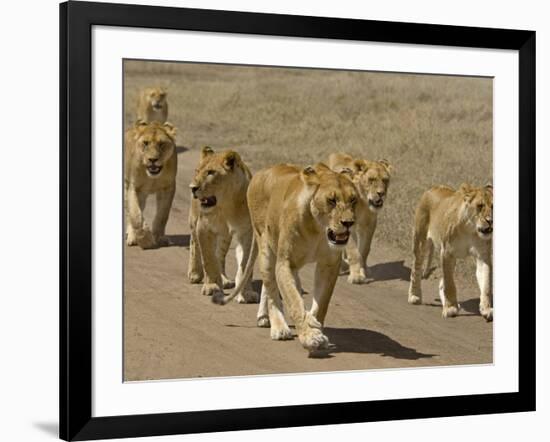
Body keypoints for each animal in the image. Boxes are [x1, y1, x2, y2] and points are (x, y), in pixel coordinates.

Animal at [124, 120, 177, 249]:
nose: (152, 159)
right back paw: (132, 237)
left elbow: (163, 215)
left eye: (162, 144)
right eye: (145, 143)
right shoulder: (134, 187)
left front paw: (159, 237)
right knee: (130, 213)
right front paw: (146, 240)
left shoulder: (168, 188)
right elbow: (136, 215)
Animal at [189, 147, 260, 302]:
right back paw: (194, 273)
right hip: (194, 221)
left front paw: (246, 293)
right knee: (194, 244)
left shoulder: (247, 232)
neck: (226, 205)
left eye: (210, 172)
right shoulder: (203, 228)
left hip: (225, 236)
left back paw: (224, 279)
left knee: (220, 256)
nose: (192, 187)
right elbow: (208, 259)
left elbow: (245, 264)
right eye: (197, 171)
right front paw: (212, 286)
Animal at [216, 162, 362, 352]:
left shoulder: (329, 265)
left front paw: (314, 325)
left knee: (273, 285)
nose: (349, 223)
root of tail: (260, 173)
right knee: (270, 288)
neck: (318, 230)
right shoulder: (285, 262)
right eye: (331, 200)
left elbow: (321, 304)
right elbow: (293, 301)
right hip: (266, 247)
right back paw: (278, 327)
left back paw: (268, 317)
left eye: (353, 200)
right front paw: (310, 337)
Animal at [328, 152, 392, 284]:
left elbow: (364, 250)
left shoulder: (370, 224)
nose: (381, 193)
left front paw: (363, 270)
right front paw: (356, 276)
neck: (363, 201)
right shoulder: (346, 225)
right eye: (371, 180)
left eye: (385, 180)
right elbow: (353, 251)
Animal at [410, 184, 496, 322]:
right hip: (420, 241)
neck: (470, 229)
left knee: (441, 283)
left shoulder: (483, 257)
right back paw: (414, 296)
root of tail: (434, 187)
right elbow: (450, 284)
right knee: (415, 270)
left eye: (494, 206)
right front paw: (450, 308)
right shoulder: (447, 253)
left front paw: (486, 309)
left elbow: (486, 285)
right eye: (480, 206)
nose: (491, 221)